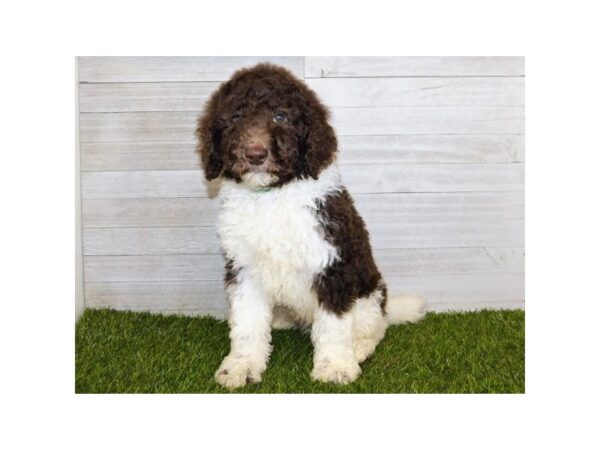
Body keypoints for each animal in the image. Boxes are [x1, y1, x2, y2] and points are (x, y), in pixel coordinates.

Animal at [197, 61, 426, 388]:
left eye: (280, 115)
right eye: (236, 117)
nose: (255, 154)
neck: (272, 195)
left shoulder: (333, 266)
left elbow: (333, 325)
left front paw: (334, 367)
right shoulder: (244, 269)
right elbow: (247, 324)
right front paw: (242, 365)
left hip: (369, 295)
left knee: (374, 328)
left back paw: (358, 348)